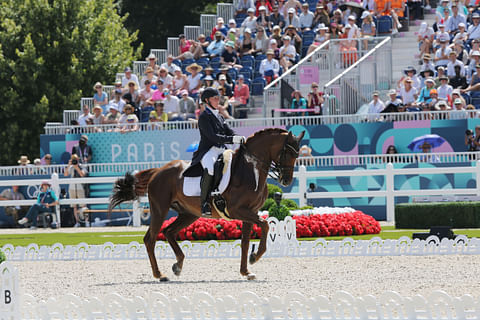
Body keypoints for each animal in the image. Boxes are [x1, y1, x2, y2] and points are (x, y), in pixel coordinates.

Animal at [109, 127, 304, 280]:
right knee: (150, 239)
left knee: (168, 231)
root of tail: (158, 171)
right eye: (287, 152)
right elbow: (264, 225)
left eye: (297, 154)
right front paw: (255, 257)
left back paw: (178, 265)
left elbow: (245, 242)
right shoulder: (238, 210)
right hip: (160, 209)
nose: (286, 180)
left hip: (189, 214)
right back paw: (160, 275)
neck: (251, 169)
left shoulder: (250, 212)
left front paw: (246, 271)